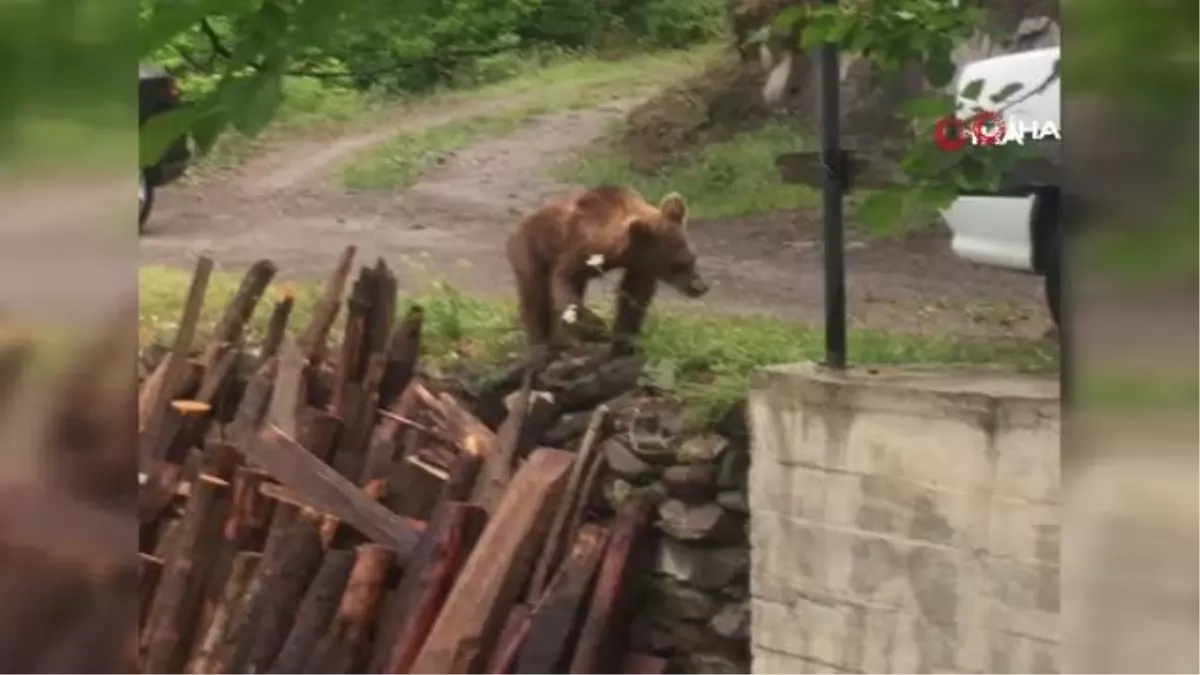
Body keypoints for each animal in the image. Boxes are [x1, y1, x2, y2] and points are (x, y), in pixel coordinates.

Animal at [504, 181, 705, 355]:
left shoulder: (639, 264)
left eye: (693, 257)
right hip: (530, 250)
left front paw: (624, 342)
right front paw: (596, 329)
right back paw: (541, 342)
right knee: (535, 294)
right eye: (677, 265)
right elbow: (563, 282)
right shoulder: (577, 250)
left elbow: (633, 297)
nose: (700, 287)